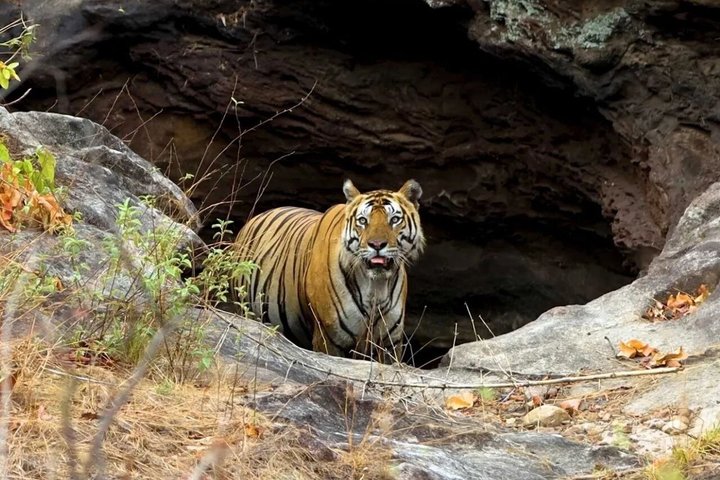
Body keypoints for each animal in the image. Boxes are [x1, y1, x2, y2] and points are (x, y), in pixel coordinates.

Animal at [233, 179, 425, 361]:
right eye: (363, 221)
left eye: (394, 220)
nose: (377, 245)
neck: (375, 287)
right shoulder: (329, 337)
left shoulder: (390, 343)